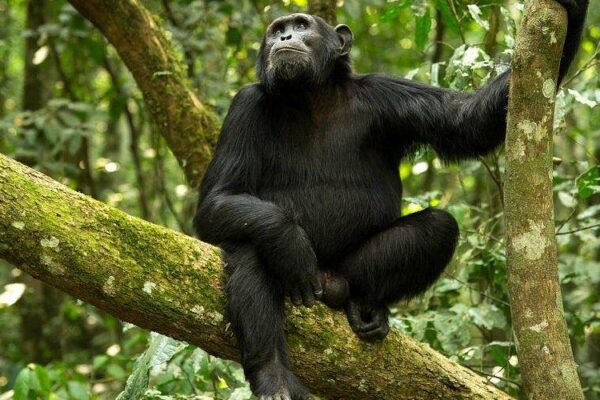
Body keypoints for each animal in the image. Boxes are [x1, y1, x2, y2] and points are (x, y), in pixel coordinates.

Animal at [195, 2, 588, 396]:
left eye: (302, 25)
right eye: (276, 30)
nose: (285, 36)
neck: (312, 97)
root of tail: (328, 280)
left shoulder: (387, 94)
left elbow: (465, 120)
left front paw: (574, 11)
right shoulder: (245, 106)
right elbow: (217, 200)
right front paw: (289, 241)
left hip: (346, 272)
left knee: (437, 227)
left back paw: (363, 304)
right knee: (252, 250)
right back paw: (273, 374)